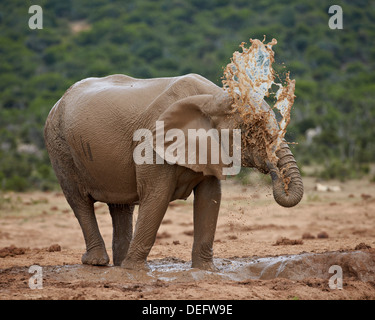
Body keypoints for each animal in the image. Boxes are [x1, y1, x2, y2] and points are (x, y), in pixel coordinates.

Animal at [44, 74, 304, 272]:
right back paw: (98, 263)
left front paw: (206, 270)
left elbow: (210, 198)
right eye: (253, 131)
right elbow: (156, 197)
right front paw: (136, 270)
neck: (211, 98)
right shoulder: (150, 144)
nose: (273, 173)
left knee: (120, 207)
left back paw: (118, 264)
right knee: (79, 200)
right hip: (59, 146)